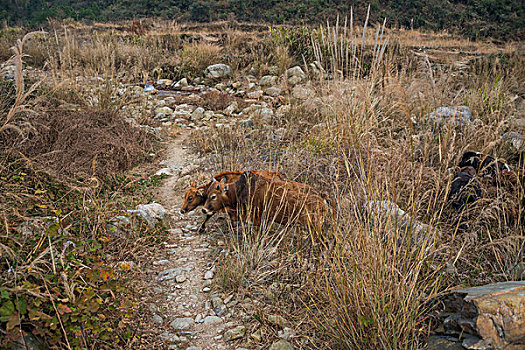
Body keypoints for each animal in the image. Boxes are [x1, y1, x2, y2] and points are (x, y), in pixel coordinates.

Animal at [201, 170, 332, 235]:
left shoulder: (257, 220)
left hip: (314, 226)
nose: (204, 209)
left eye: (213, 196)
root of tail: (321, 197)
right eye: (207, 194)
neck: (239, 190)